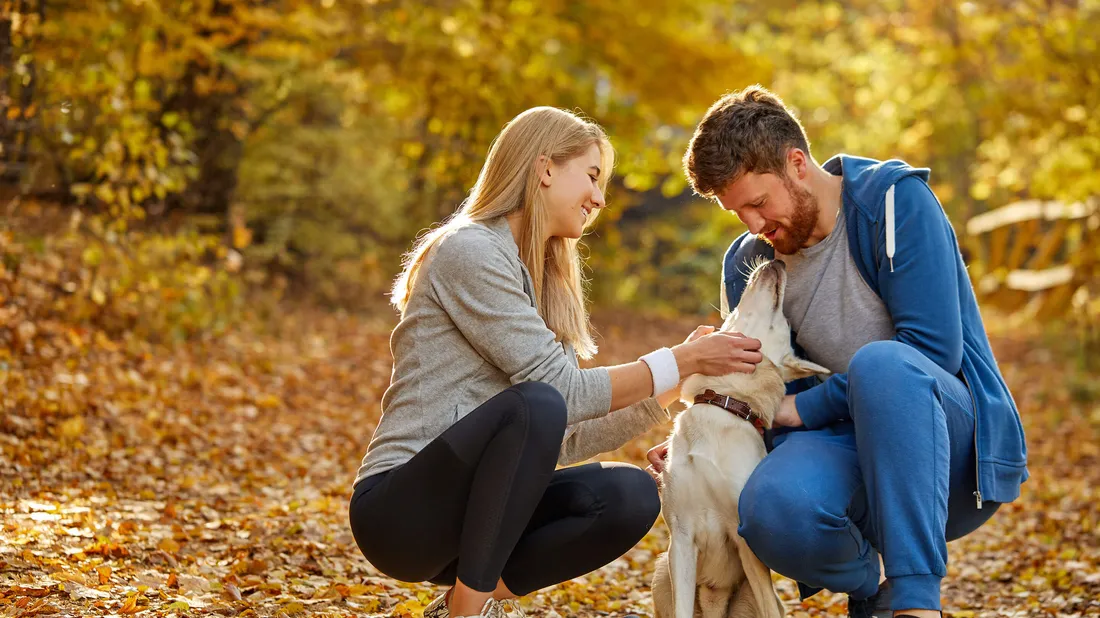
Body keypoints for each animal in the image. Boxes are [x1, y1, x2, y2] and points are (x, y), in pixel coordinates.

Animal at [651, 257, 827, 615]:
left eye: (783, 321)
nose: (778, 261)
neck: (723, 401)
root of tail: (715, 600)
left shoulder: (745, 541)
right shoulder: (681, 539)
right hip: (663, 571)